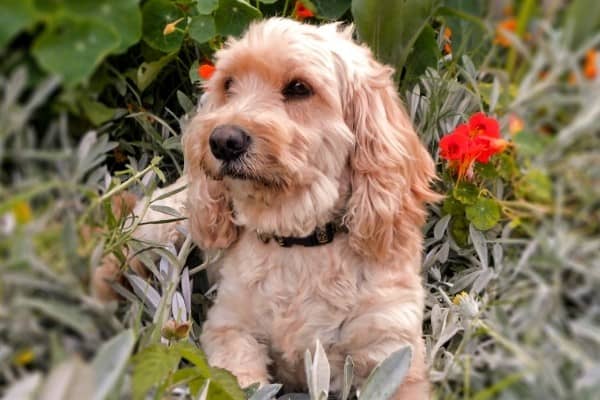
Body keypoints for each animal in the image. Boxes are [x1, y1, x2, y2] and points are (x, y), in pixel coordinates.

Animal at [97, 17, 440, 398]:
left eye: (299, 88)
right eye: (229, 84)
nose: (223, 140)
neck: (298, 241)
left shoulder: (393, 349)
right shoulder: (230, 328)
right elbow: (238, 380)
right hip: (160, 232)